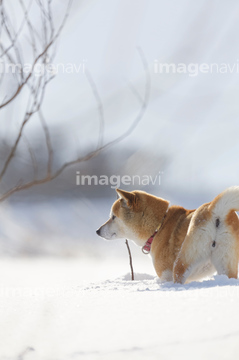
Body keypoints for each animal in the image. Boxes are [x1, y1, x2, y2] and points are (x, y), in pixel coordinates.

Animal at [96, 186, 239, 284]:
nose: (97, 231)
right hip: (226, 264)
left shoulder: (166, 275)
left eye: (113, 217)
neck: (159, 227)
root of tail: (213, 210)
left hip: (182, 263)